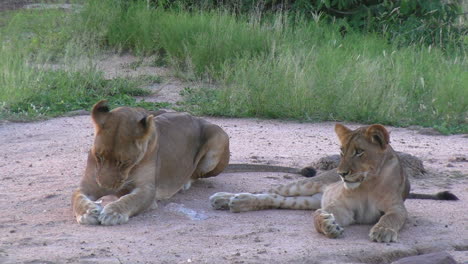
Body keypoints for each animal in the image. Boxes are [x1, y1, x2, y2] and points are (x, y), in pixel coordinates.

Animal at [210, 124, 458, 243]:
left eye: (359, 152)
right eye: (341, 151)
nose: (341, 174)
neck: (368, 184)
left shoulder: (397, 208)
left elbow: (390, 218)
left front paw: (382, 232)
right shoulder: (341, 208)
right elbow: (318, 217)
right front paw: (328, 226)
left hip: (304, 200)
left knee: (274, 198)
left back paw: (237, 203)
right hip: (307, 185)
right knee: (267, 190)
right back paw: (225, 198)